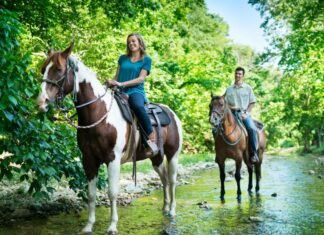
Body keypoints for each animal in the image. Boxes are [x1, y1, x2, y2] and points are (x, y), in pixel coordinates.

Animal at [36, 43, 182, 233]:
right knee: (164, 179)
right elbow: (91, 194)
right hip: (156, 157)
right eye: (43, 69)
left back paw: (172, 210)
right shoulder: (89, 159)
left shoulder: (112, 159)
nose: (41, 102)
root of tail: (171, 113)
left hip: (173, 155)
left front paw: (112, 226)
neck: (99, 114)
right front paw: (88, 226)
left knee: (172, 180)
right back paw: (165, 208)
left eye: (59, 69)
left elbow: (112, 192)